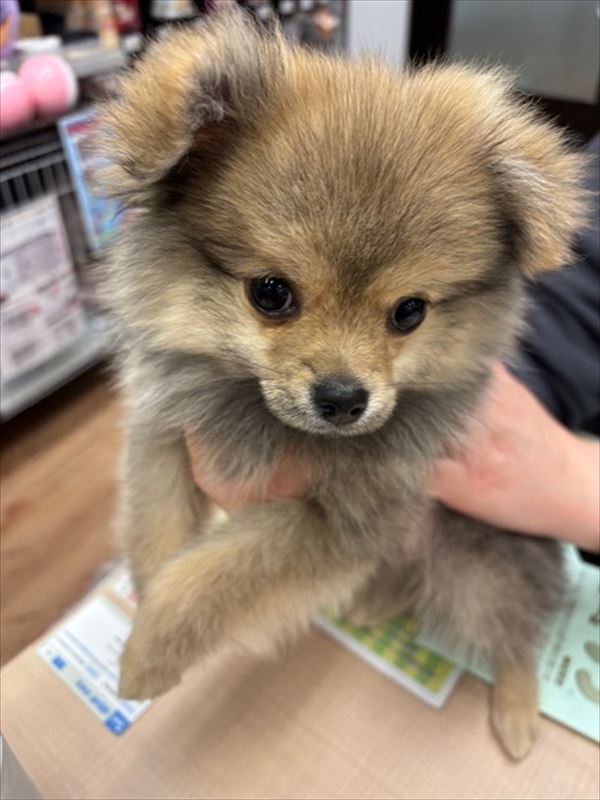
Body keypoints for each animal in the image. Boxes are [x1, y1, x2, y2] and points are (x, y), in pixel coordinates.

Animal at [100, 9, 587, 760]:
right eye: (271, 293)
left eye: (409, 312)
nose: (343, 398)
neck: (254, 410)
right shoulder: (164, 431)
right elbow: (155, 531)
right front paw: (146, 591)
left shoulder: (349, 521)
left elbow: (215, 574)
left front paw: (150, 651)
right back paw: (378, 603)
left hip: (478, 561)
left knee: (510, 630)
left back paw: (516, 706)